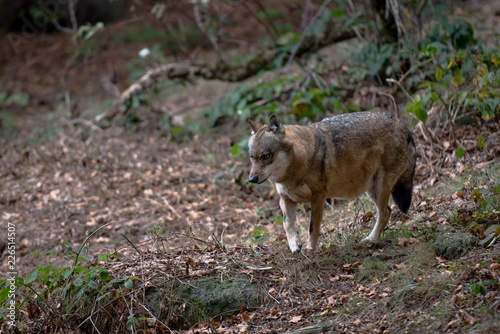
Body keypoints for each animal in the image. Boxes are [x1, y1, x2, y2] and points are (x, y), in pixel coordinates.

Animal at [248, 112, 416, 253]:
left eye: (266, 156)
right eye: (252, 157)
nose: (251, 179)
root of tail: (402, 124)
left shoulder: (318, 197)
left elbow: (312, 227)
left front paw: (310, 250)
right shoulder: (286, 199)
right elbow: (287, 224)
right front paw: (295, 245)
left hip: (380, 188)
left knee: (385, 213)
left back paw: (371, 240)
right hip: (371, 190)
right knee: (387, 211)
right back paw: (371, 240)